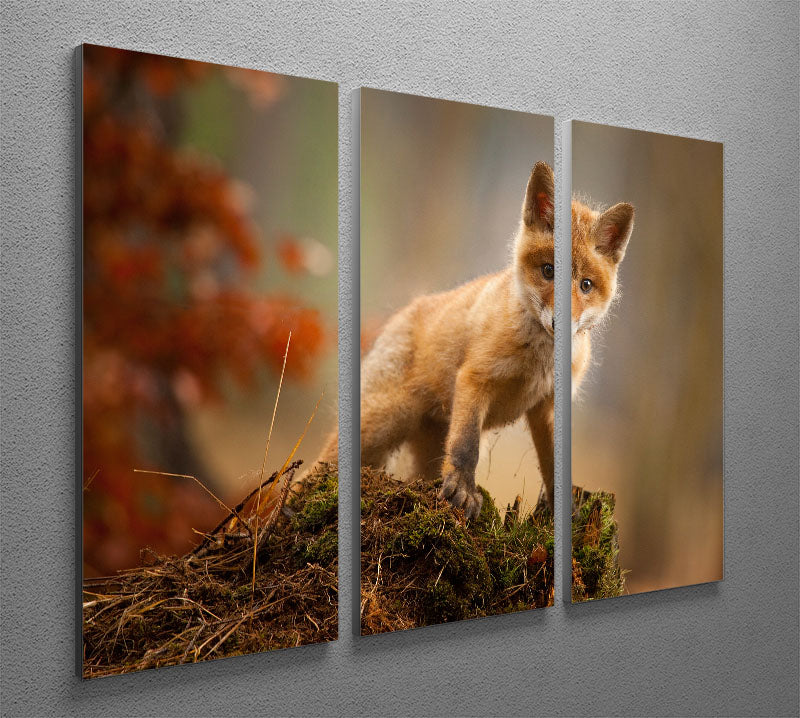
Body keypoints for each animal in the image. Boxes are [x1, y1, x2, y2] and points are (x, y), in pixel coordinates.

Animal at [316, 161, 634, 519]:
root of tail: (401, 314)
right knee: (316, 468)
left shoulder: (547, 405)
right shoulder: (475, 378)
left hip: (422, 448)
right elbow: (467, 446)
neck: (538, 362)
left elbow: (553, 466)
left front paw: (564, 511)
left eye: (586, 285)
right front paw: (463, 491)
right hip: (380, 423)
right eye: (548, 270)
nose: (559, 324)